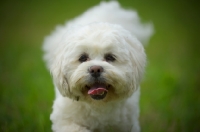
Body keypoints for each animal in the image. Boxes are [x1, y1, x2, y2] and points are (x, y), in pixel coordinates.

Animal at [43, 1, 153, 132]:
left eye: (110, 57)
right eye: (82, 58)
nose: (95, 69)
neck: (98, 105)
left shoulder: (127, 125)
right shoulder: (64, 121)